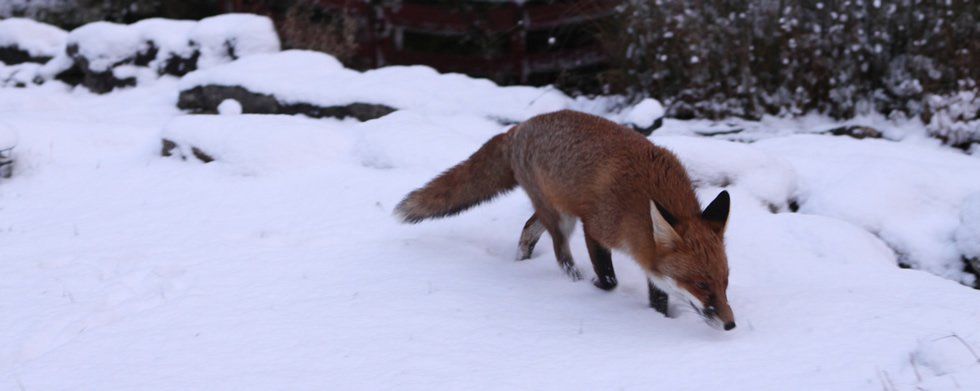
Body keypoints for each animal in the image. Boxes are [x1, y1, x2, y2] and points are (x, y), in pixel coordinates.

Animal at [396, 109, 736, 330]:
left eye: (724, 281)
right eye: (701, 283)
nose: (731, 325)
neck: (643, 197)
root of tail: (518, 128)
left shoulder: (646, 256)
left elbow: (659, 295)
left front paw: (660, 318)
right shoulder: (595, 228)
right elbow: (610, 279)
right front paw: (598, 290)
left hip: (557, 211)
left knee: (527, 230)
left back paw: (521, 263)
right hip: (562, 221)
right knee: (561, 255)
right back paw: (573, 282)